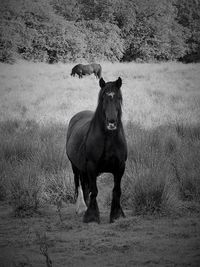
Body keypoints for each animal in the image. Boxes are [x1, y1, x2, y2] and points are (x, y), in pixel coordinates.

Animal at [66, 77, 127, 224]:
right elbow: (94, 191)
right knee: (78, 185)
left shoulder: (120, 167)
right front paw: (92, 216)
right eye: (103, 98)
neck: (109, 139)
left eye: (118, 98)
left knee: (84, 186)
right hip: (75, 166)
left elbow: (117, 190)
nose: (112, 122)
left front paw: (116, 215)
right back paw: (81, 208)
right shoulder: (91, 166)